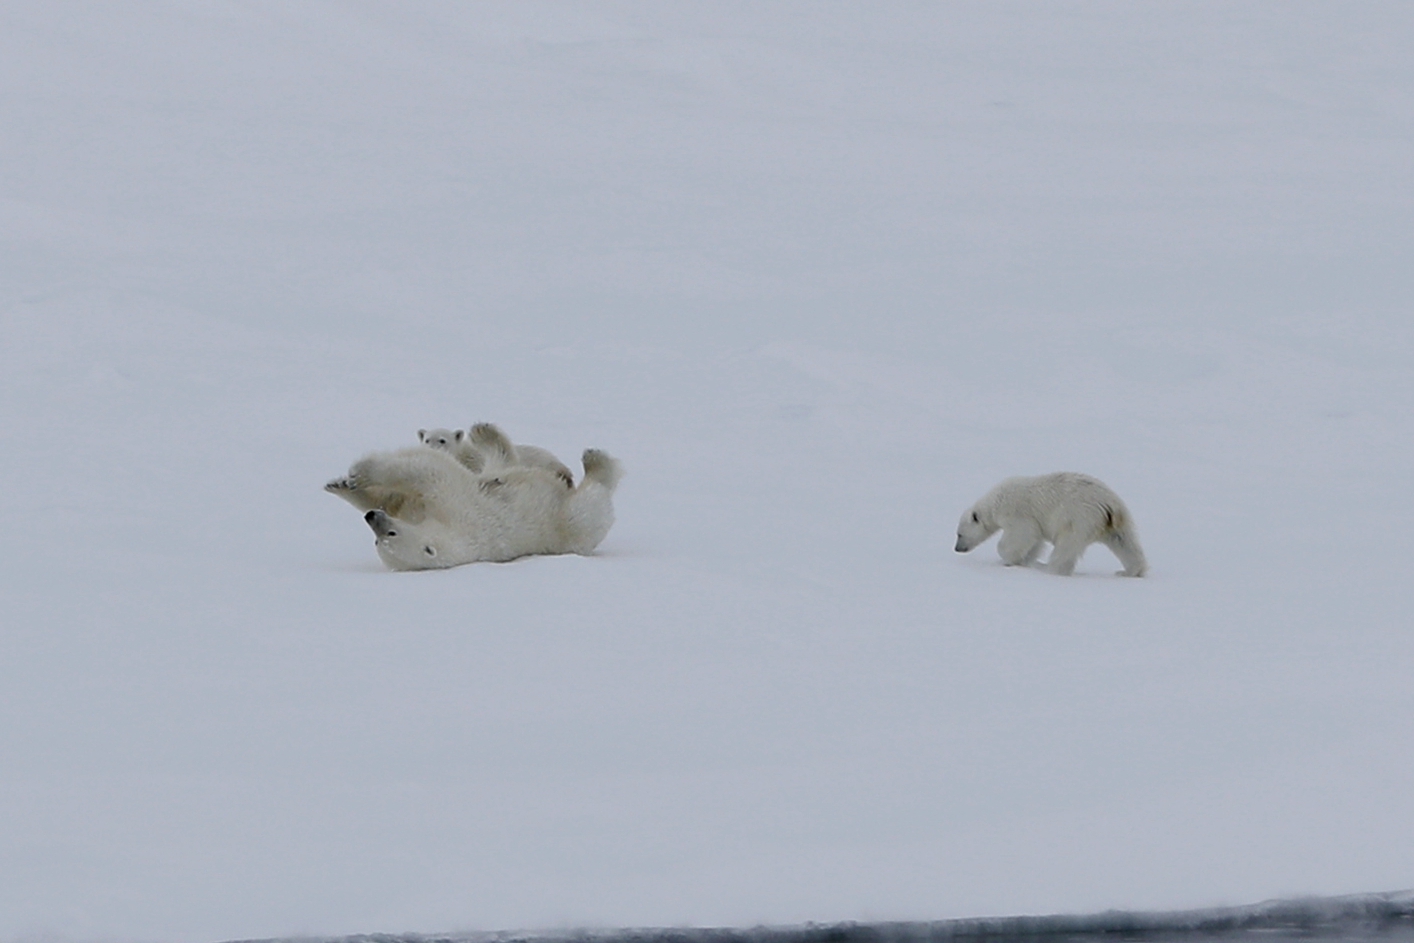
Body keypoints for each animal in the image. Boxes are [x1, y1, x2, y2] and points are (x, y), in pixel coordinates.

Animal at [950, 472, 1148, 576]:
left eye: (959, 534)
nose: (957, 549)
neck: (995, 502)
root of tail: (1109, 505)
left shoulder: (1017, 512)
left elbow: (1022, 535)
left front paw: (1011, 559)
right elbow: (1035, 540)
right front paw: (1025, 559)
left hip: (1078, 517)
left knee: (1066, 546)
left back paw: (1046, 567)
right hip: (1115, 521)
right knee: (1125, 543)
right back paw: (1129, 571)